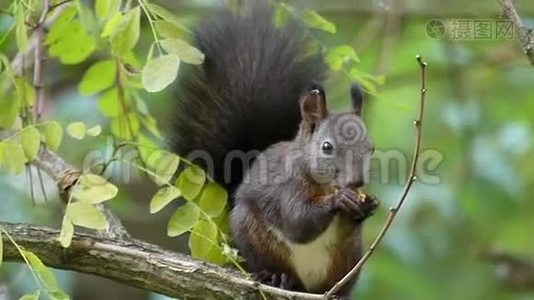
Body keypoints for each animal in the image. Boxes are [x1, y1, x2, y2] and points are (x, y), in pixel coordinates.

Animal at [170, 1, 378, 296]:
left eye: (371, 148)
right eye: (327, 147)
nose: (357, 182)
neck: (323, 185)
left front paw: (368, 204)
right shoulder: (286, 186)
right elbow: (298, 222)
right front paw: (340, 200)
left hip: (348, 258)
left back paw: (336, 294)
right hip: (252, 233)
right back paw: (278, 277)